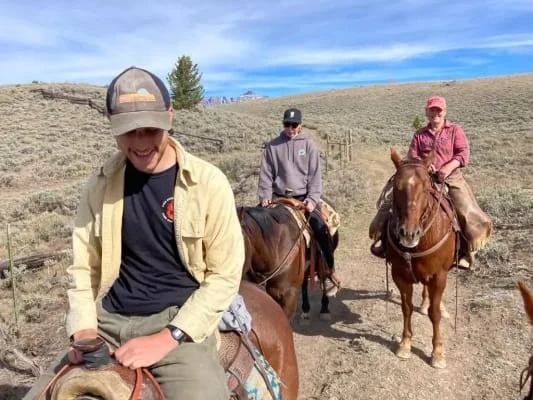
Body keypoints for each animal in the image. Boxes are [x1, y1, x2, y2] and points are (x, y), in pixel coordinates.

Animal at [386, 148, 459, 369]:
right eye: (396, 187)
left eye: (426, 188)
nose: (408, 234)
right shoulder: (399, 275)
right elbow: (406, 308)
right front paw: (405, 344)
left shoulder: (439, 276)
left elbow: (434, 314)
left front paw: (438, 353)